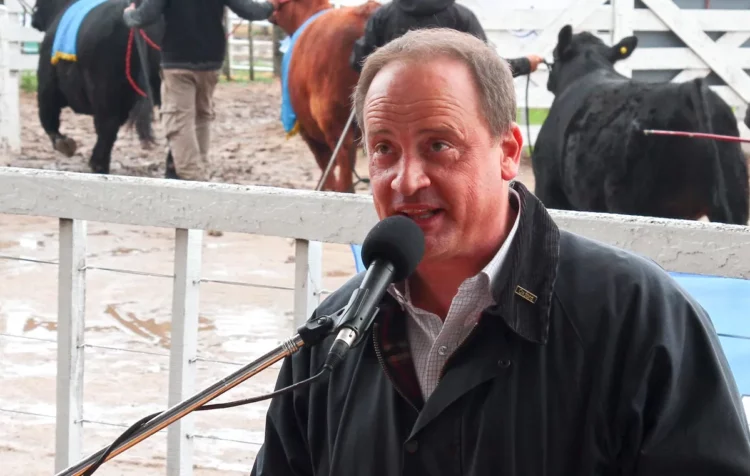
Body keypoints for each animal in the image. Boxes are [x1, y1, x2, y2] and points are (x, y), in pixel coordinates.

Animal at [31, 0, 165, 175]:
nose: (33, 19)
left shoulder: (47, 83)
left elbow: (48, 116)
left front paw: (65, 144)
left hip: (104, 90)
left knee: (107, 127)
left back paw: (98, 164)